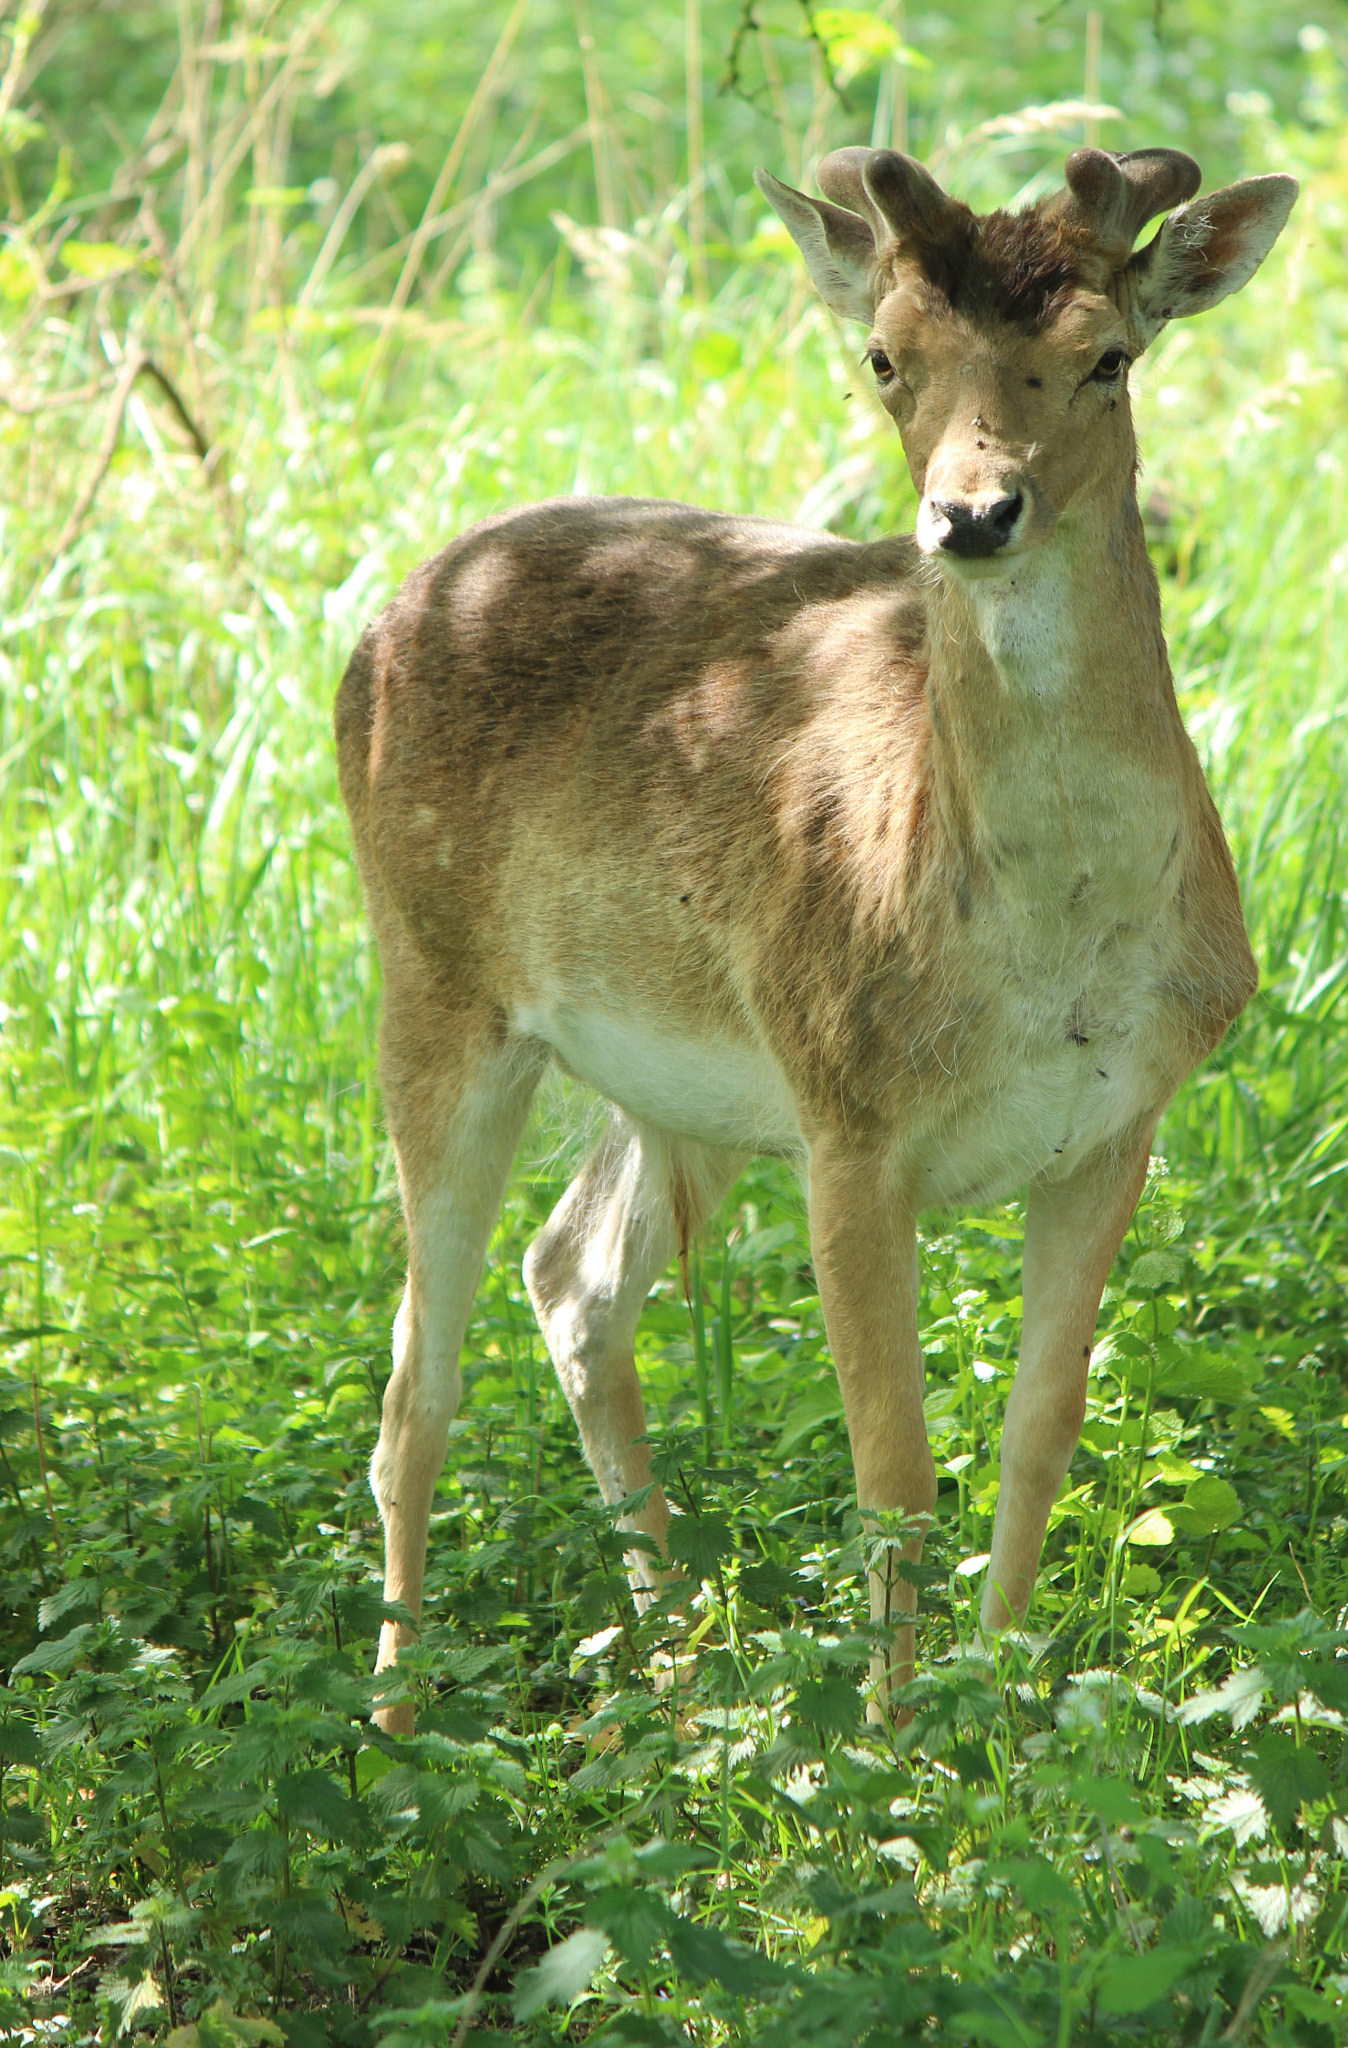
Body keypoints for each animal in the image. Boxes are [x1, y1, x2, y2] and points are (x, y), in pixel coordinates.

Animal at [335, 144, 1296, 1730]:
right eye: (885, 357)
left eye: (1109, 355)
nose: (972, 515)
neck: (1050, 960)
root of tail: (385, 612)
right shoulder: (850, 1116)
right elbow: (892, 1467)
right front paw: (894, 1743)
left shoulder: (1118, 1123)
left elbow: (1040, 1429)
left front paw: (999, 1703)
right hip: (432, 971)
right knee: (417, 1377)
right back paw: (397, 1719)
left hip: (688, 1082)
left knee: (572, 1276)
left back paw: (673, 1671)